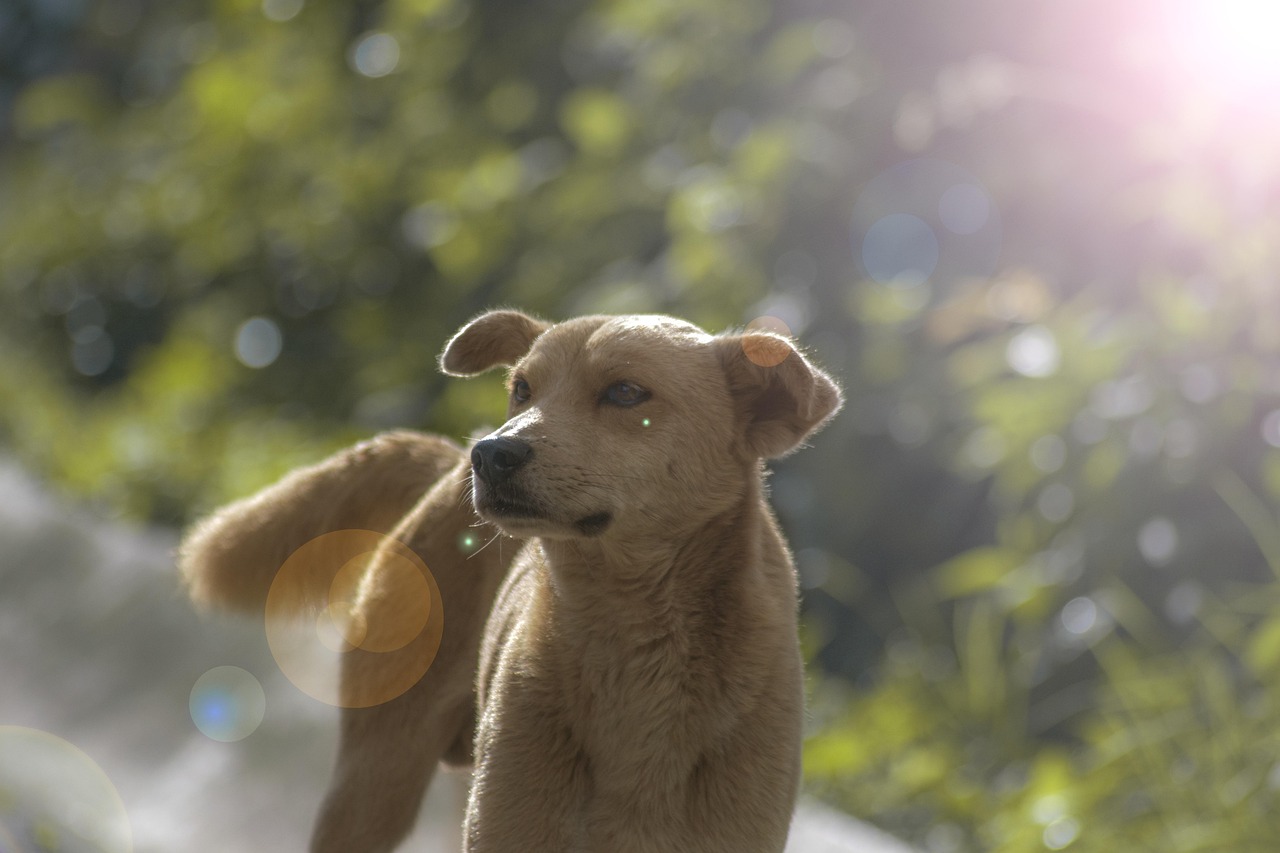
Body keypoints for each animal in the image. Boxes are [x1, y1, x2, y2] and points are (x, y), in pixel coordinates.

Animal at [177, 308, 839, 845]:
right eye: (521, 388)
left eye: (626, 392)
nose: (492, 454)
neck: (633, 643)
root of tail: (446, 460)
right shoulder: (509, 824)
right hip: (376, 778)